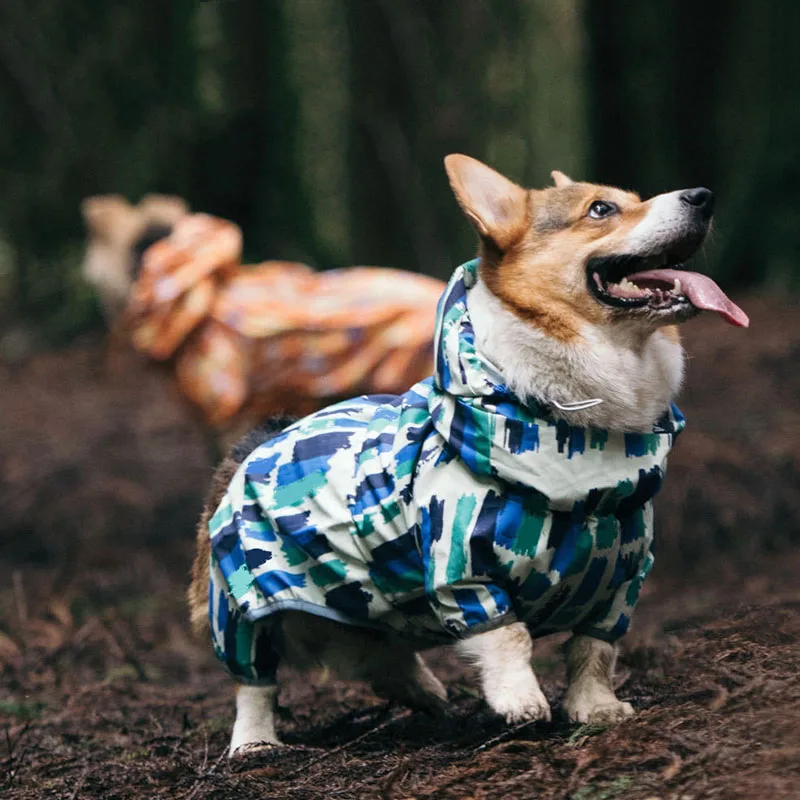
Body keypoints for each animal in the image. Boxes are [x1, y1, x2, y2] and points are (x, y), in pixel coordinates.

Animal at [189, 158, 752, 756]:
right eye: (601, 209)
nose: (704, 196)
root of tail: (254, 443)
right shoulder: (464, 569)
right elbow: (510, 636)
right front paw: (520, 701)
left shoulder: (619, 584)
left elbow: (593, 652)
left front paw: (595, 708)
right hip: (243, 605)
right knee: (255, 683)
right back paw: (255, 742)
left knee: (376, 653)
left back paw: (424, 693)